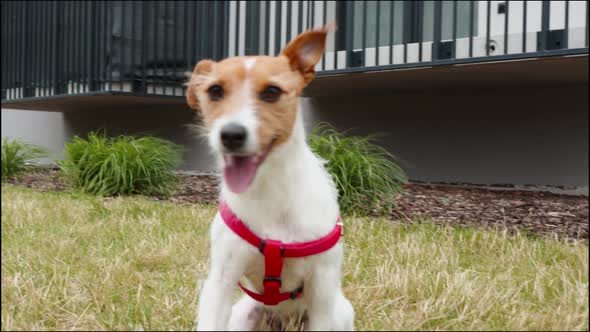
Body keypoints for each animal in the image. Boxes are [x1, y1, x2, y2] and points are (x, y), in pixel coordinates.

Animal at [187, 24, 356, 332]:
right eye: (215, 90)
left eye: (272, 92)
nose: (231, 135)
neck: (270, 191)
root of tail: (286, 321)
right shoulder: (221, 280)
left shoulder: (323, 288)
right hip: (243, 314)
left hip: (341, 313)